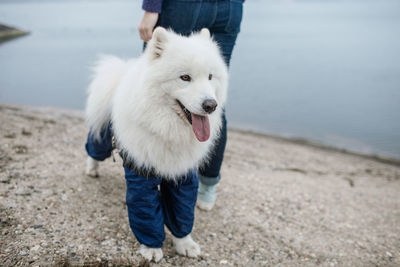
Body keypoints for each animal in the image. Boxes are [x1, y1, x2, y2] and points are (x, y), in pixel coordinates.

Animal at [84, 27, 228, 262]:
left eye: (210, 76)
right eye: (185, 77)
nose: (211, 105)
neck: (168, 130)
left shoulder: (183, 177)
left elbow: (182, 213)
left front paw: (185, 243)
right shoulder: (141, 173)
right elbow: (146, 213)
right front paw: (151, 248)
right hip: (104, 136)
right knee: (93, 146)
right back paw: (91, 169)